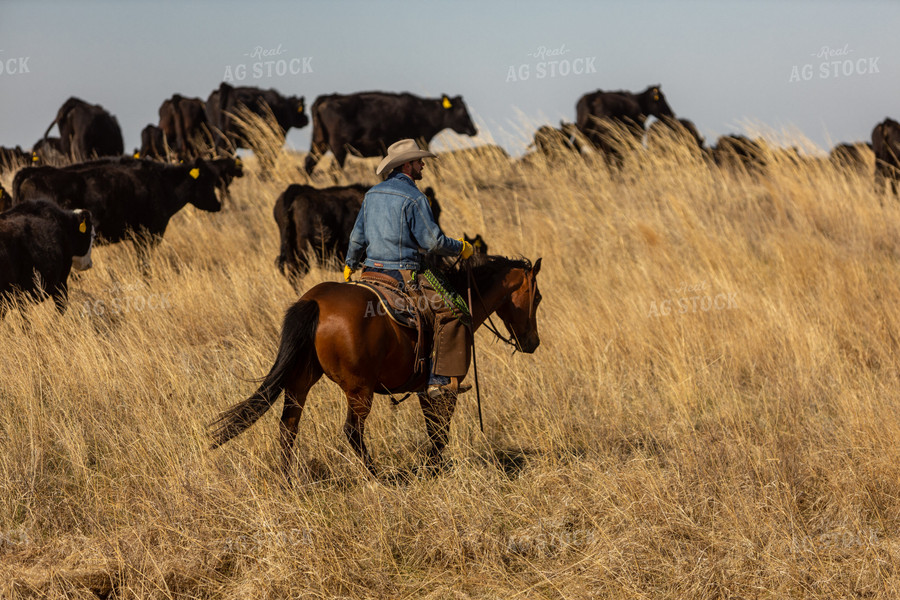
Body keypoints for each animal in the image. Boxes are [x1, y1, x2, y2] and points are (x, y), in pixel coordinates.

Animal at [213, 255, 540, 476]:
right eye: (536, 297)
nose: (532, 342)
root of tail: (315, 302)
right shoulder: (446, 386)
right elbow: (440, 430)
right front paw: (433, 467)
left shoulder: (423, 389)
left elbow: (433, 428)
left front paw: (432, 465)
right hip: (359, 391)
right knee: (352, 432)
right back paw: (376, 476)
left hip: (300, 380)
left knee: (288, 426)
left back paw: (286, 479)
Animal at [302, 91, 478, 175]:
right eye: (462, 111)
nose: (474, 129)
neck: (423, 112)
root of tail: (327, 98)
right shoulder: (421, 141)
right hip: (339, 147)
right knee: (334, 170)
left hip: (319, 143)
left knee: (309, 164)